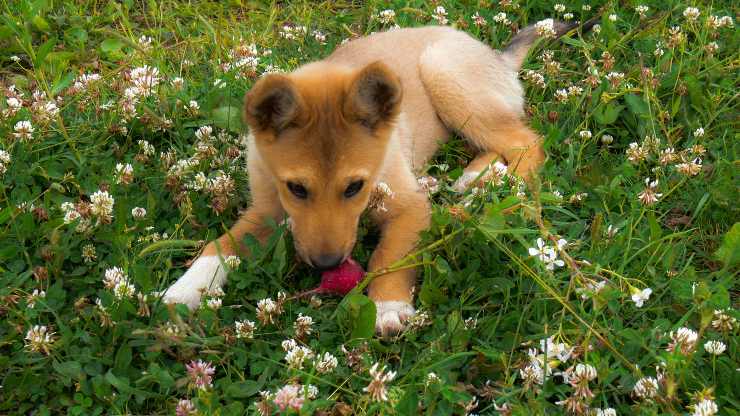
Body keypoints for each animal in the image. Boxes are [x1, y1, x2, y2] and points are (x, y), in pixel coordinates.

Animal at [162, 21, 584, 336]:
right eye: (296, 188)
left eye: (355, 187)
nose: (327, 264)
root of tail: (495, 55)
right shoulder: (267, 210)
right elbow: (220, 244)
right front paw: (184, 290)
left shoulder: (410, 207)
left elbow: (390, 254)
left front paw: (387, 305)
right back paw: (475, 175)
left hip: (445, 74)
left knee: (526, 142)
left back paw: (493, 183)